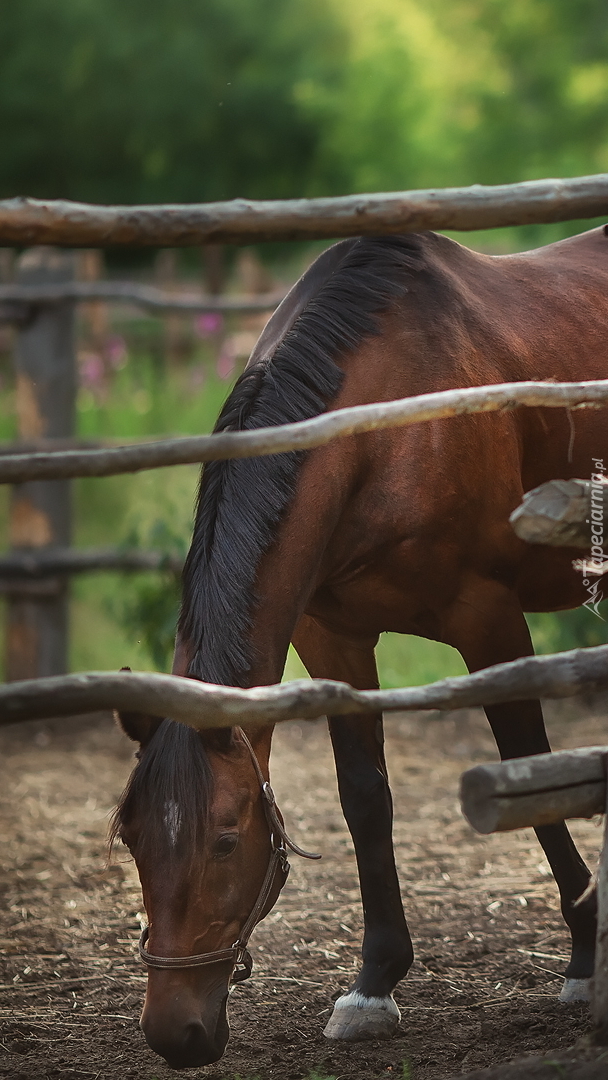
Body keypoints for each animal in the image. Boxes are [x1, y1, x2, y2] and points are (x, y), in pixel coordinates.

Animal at [114, 225, 608, 1062]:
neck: (384, 426)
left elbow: (530, 767)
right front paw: (374, 983)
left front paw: (583, 959)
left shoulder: (489, 619)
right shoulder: (332, 637)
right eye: (132, 839)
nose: (174, 1033)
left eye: (225, 841)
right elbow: (364, 797)